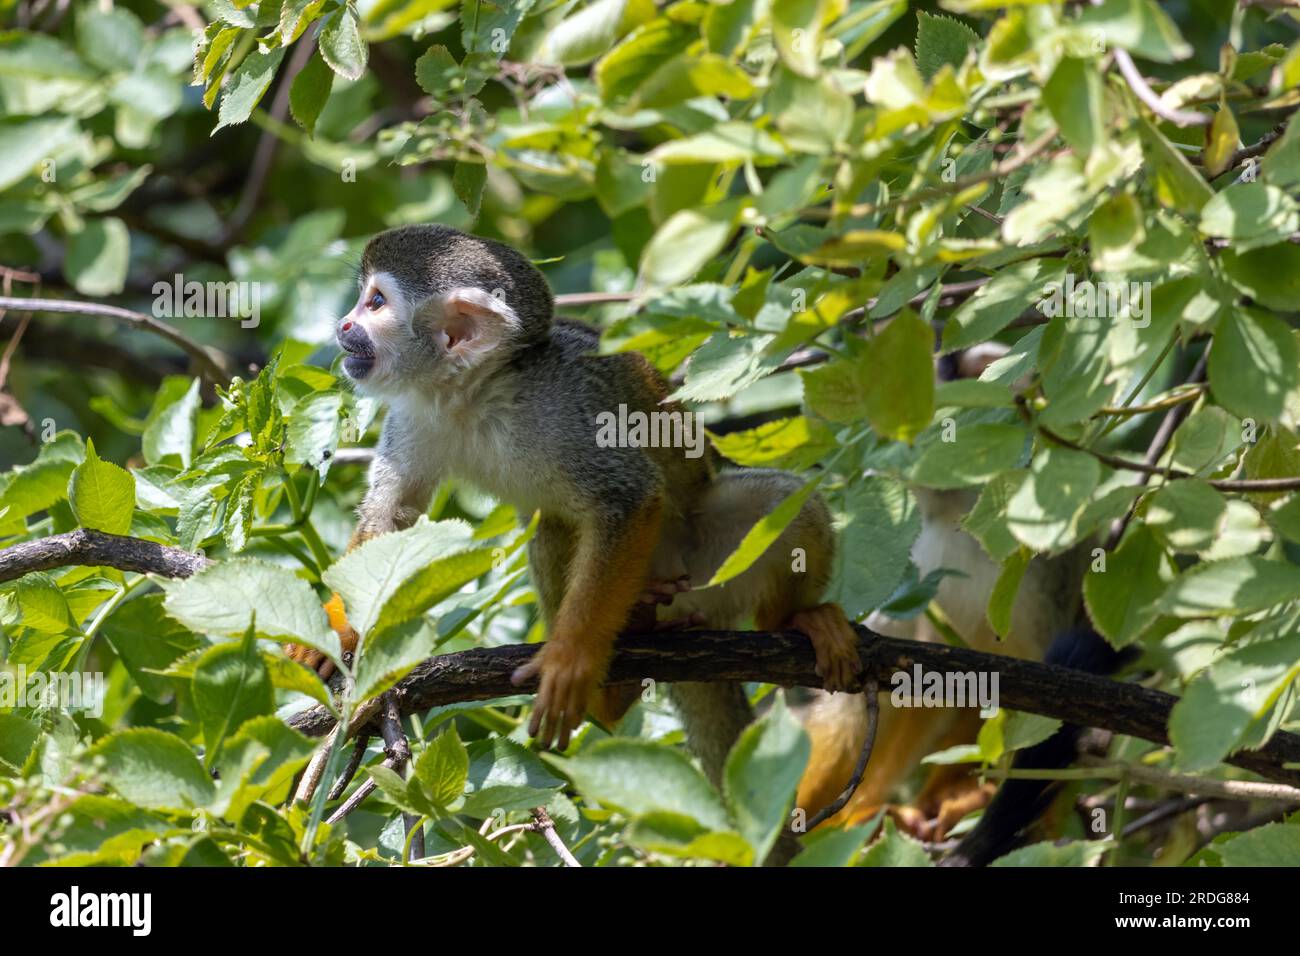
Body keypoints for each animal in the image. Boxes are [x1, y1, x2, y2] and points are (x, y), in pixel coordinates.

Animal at [293, 221, 863, 764]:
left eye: (376, 303)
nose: (344, 326)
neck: (474, 394)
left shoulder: (570, 410)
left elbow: (629, 498)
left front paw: (571, 660)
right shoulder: (414, 413)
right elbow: (391, 516)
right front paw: (332, 632)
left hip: (711, 565)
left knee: (786, 504)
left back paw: (796, 618)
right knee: (551, 525)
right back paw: (625, 669)